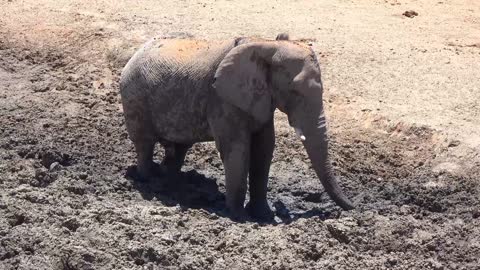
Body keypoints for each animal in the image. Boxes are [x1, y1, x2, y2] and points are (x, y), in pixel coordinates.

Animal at [119, 33, 352, 219]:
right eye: (294, 91)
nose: (352, 208)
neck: (266, 43)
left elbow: (264, 149)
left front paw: (264, 216)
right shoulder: (222, 98)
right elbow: (238, 149)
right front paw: (239, 217)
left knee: (178, 149)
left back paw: (171, 182)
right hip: (134, 96)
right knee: (144, 144)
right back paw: (149, 180)